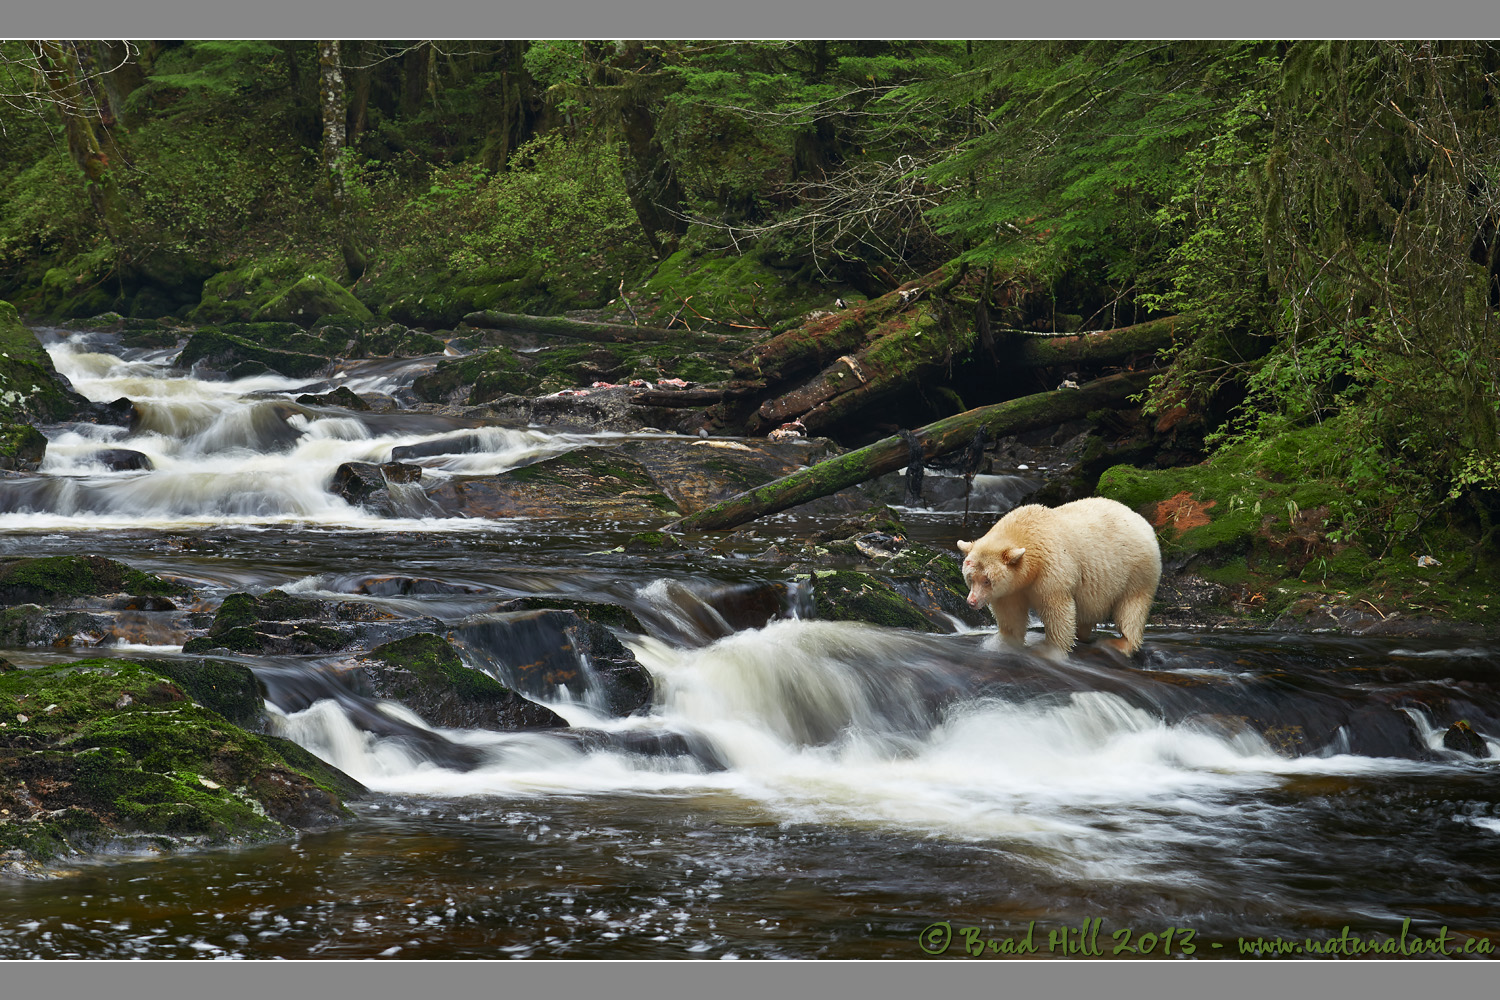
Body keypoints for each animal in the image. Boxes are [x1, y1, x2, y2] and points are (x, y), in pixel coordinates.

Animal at [960, 494, 1158, 656]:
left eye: (987, 580)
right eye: (971, 578)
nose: (971, 602)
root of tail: (1139, 518)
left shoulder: (1051, 569)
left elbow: (1057, 609)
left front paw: (1050, 650)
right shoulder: (1012, 589)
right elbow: (1010, 613)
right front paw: (1004, 643)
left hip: (1137, 570)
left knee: (1131, 607)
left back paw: (1120, 643)